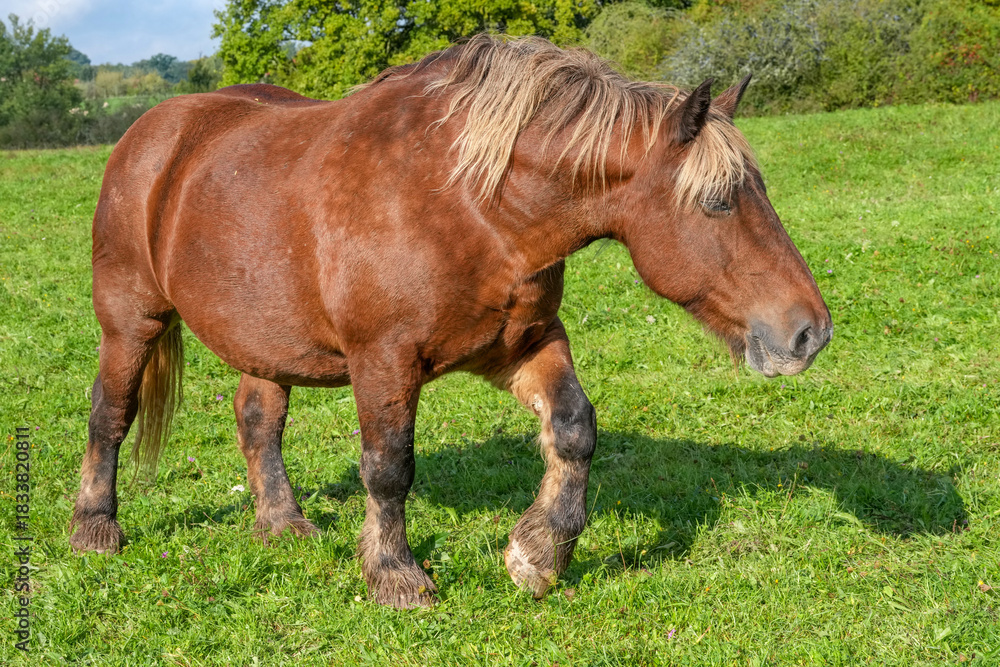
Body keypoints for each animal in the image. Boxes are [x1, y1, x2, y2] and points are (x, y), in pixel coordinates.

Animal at [70, 35, 832, 608]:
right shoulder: (383, 360)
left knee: (258, 419)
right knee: (111, 413)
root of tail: (153, 133)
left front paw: (538, 553)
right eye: (718, 201)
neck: (472, 205)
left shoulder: (522, 343)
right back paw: (94, 528)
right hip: (130, 320)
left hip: (265, 339)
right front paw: (396, 575)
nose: (810, 333)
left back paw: (282, 524)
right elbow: (388, 468)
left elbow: (574, 429)